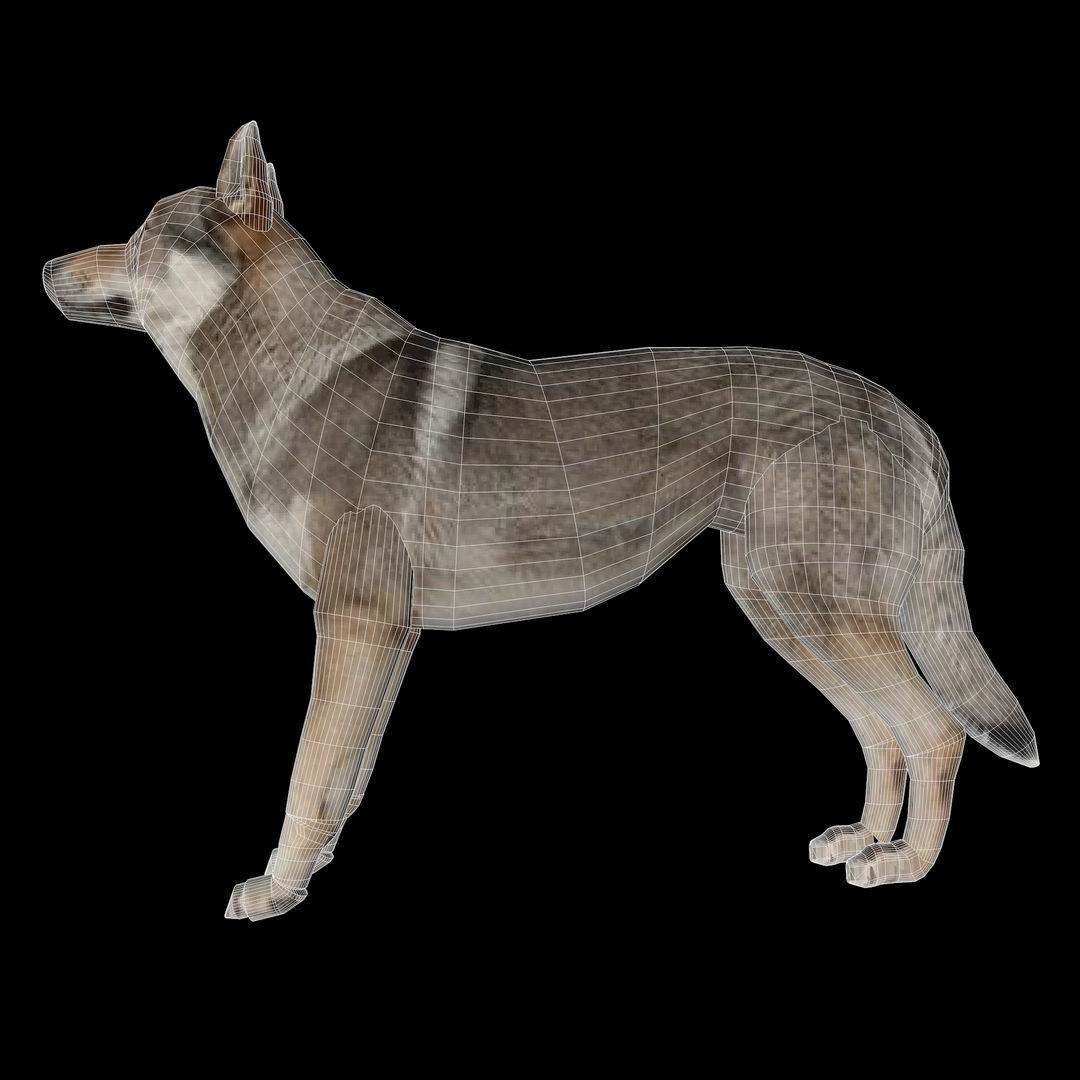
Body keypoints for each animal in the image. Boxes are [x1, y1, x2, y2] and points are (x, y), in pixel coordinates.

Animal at [43, 122, 1038, 920]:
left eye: (140, 237)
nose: (46, 267)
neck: (288, 374)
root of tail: (904, 412)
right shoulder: (385, 634)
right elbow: (347, 776)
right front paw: (313, 871)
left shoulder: (355, 622)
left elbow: (309, 773)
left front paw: (279, 886)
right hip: (784, 610)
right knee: (882, 731)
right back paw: (863, 840)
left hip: (815, 610)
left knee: (934, 729)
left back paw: (903, 864)